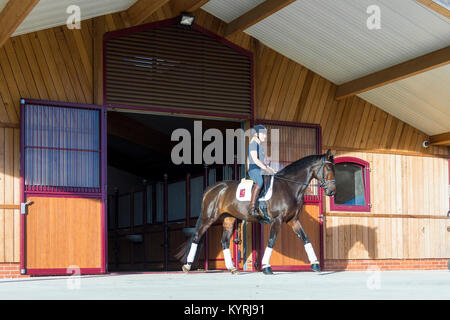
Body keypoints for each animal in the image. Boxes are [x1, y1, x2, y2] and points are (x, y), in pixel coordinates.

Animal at [175, 149, 334, 272]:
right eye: (328, 169)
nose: (332, 191)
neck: (289, 186)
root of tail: (213, 188)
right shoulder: (277, 220)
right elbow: (271, 241)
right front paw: (266, 267)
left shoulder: (293, 220)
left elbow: (305, 239)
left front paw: (315, 265)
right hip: (209, 218)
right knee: (197, 236)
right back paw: (187, 266)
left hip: (228, 218)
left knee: (224, 241)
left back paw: (232, 268)